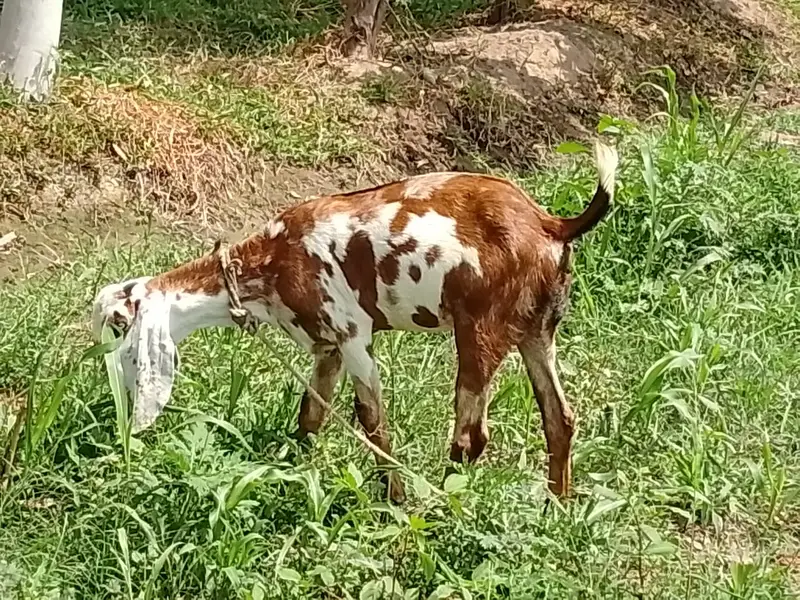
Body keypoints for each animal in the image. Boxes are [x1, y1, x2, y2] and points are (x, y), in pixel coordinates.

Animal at [93, 142, 618, 503]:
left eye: (118, 326)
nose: (112, 396)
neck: (271, 260)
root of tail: (551, 223)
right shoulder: (326, 347)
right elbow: (311, 414)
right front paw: (295, 475)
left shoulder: (352, 336)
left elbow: (372, 421)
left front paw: (396, 502)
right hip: (536, 331)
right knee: (559, 419)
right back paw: (557, 509)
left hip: (480, 332)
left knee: (470, 438)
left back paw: (446, 505)